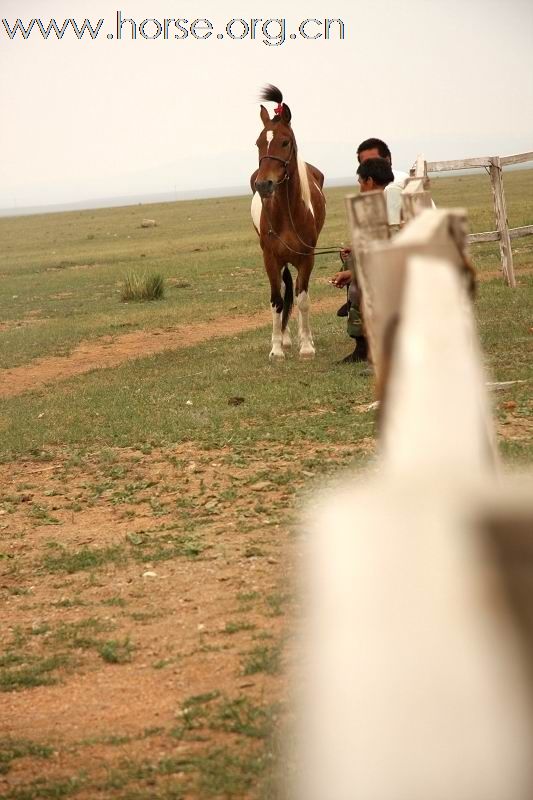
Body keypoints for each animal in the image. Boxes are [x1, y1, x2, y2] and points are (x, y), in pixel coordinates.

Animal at [250, 85, 328, 360]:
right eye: (259, 143)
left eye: (285, 142)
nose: (263, 184)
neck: (286, 214)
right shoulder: (270, 258)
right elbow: (277, 300)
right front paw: (276, 349)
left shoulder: (307, 258)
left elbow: (303, 299)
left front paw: (306, 347)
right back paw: (284, 340)